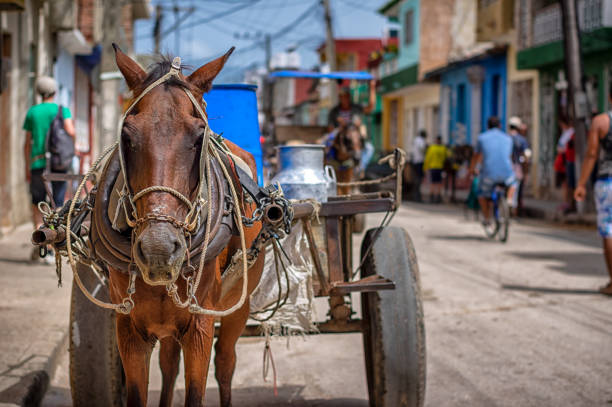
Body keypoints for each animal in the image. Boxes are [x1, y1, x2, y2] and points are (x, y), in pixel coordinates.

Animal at [108, 45, 266, 407]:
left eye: (198, 137)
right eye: (127, 135)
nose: (158, 249)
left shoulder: (199, 326)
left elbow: (197, 390)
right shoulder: (129, 329)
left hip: (239, 305)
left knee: (226, 363)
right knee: (169, 363)